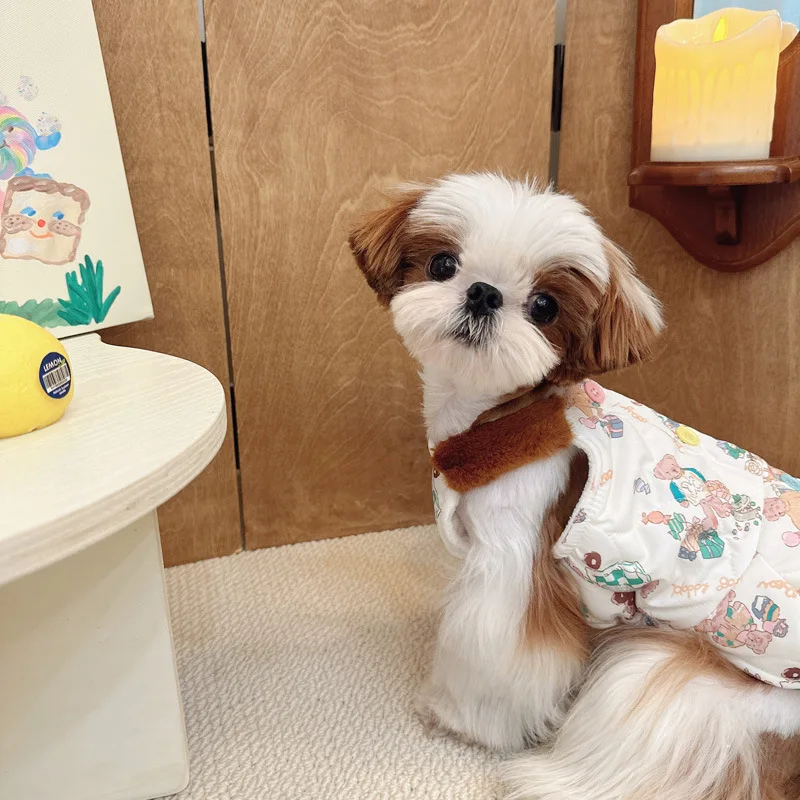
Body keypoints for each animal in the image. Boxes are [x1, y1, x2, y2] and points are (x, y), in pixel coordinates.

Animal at [349, 173, 800, 800]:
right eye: (442, 264)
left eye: (545, 306)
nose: (483, 293)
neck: (501, 419)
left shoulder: (511, 567)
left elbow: (496, 654)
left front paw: (459, 719)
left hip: (687, 681)